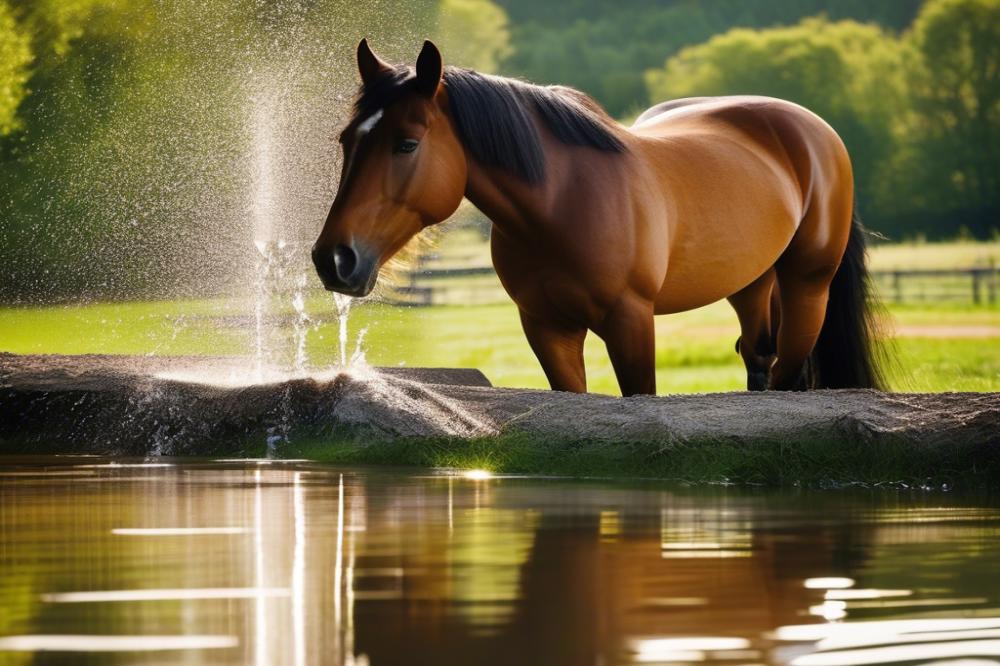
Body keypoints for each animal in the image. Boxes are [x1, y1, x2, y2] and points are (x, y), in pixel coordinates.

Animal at [310, 39, 884, 394]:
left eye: (407, 144)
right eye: (344, 140)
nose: (333, 259)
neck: (562, 205)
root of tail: (814, 129)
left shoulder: (631, 324)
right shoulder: (547, 329)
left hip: (808, 286)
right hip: (751, 284)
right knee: (758, 358)